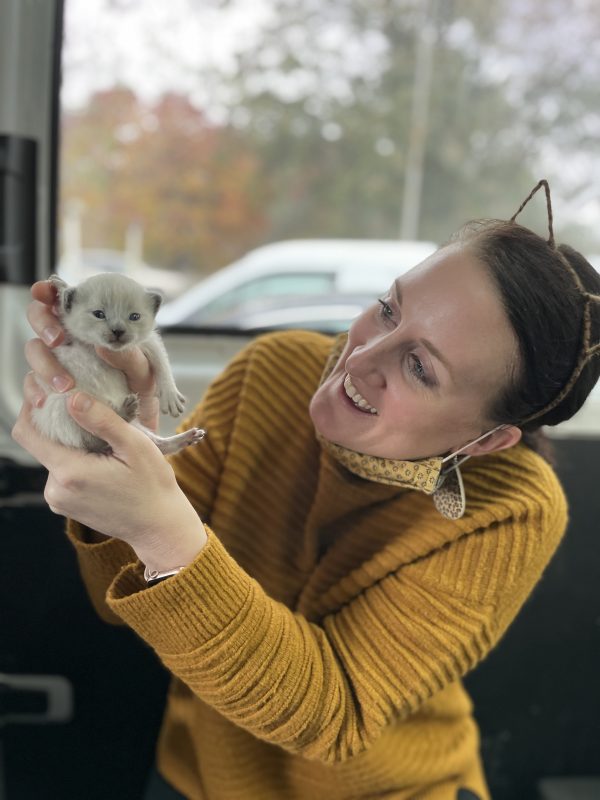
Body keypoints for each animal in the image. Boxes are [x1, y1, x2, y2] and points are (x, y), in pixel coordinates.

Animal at [32, 274, 206, 456]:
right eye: (99, 314)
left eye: (134, 317)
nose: (118, 331)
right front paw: (60, 287)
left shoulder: (147, 342)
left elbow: (162, 364)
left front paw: (170, 396)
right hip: (61, 403)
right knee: (91, 440)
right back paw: (123, 415)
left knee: (157, 445)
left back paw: (185, 438)